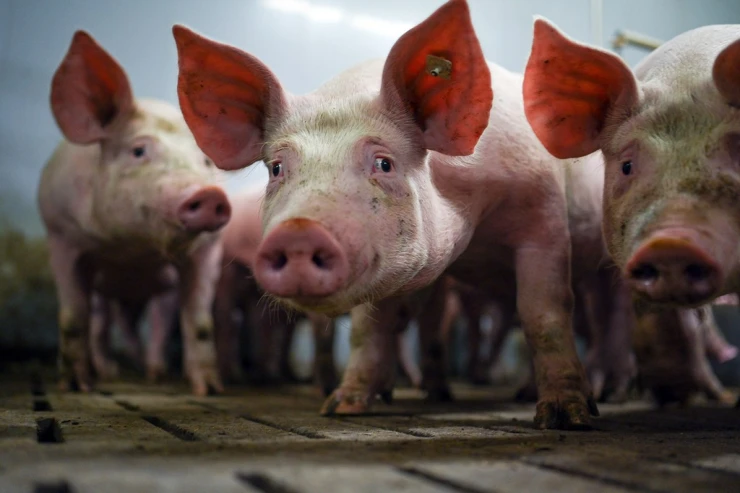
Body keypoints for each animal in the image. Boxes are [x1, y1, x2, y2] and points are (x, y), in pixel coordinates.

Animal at [34, 30, 230, 394]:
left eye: (206, 161)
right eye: (138, 151)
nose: (209, 194)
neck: (131, 251)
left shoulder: (209, 249)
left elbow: (199, 322)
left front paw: (211, 390)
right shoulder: (60, 234)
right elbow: (72, 316)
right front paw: (74, 387)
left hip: (160, 292)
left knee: (154, 323)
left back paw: (154, 373)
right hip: (103, 295)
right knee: (100, 324)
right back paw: (106, 373)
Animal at [172, 0, 596, 426]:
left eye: (384, 163)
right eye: (276, 168)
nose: (298, 232)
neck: (475, 229)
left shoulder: (543, 215)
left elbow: (544, 313)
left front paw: (565, 418)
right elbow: (368, 327)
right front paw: (341, 407)